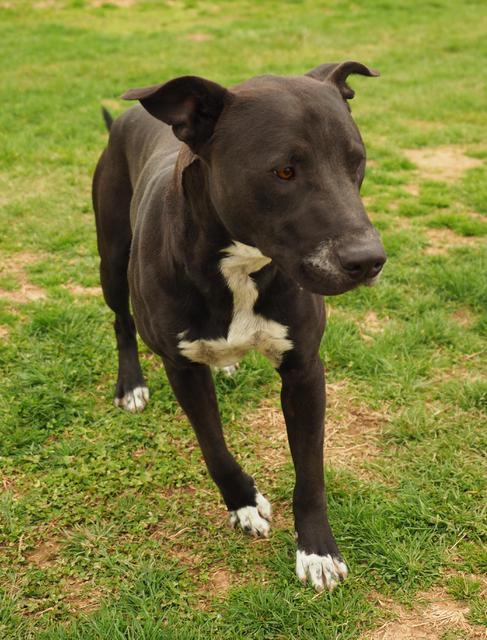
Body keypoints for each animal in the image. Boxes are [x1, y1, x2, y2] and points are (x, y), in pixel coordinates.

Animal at [93, 62, 386, 592]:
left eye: (357, 161)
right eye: (284, 171)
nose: (369, 260)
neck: (241, 267)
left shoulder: (304, 370)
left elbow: (310, 471)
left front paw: (317, 549)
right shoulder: (181, 368)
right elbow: (213, 447)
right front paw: (244, 503)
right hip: (111, 259)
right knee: (121, 322)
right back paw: (131, 384)